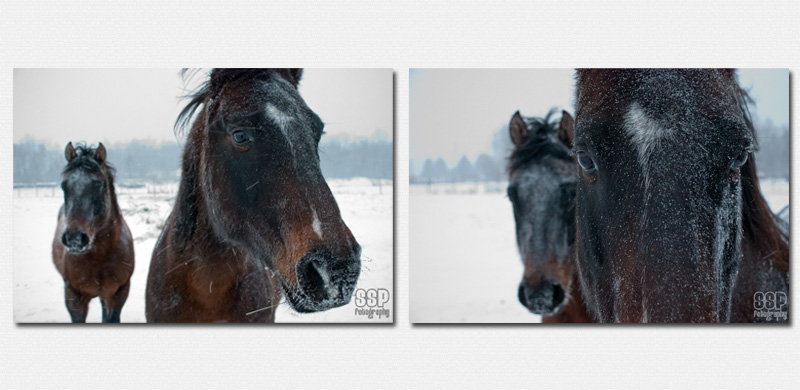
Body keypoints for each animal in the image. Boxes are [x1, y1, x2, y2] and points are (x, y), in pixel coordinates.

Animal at [51, 142, 134, 322]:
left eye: (99, 185)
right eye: (64, 187)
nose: (75, 239)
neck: (100, 258)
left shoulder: (118, 294)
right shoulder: (74, 299)